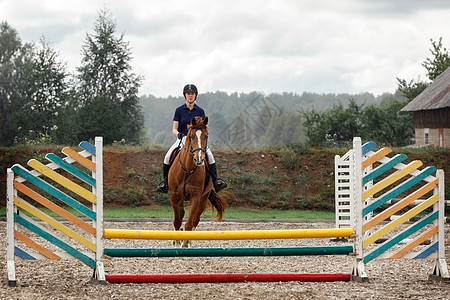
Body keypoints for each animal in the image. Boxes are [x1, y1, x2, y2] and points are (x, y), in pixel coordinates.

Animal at [167, 116, 227, 247]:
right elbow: (178, 219)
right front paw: (177, 241)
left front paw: (185, 244)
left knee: (195, 219)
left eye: (206, 135)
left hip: (203, 198)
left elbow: (189, 222)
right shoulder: (175, 196)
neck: (187, 169)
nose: (199, 159)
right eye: (191, 136)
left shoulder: (196, 196)